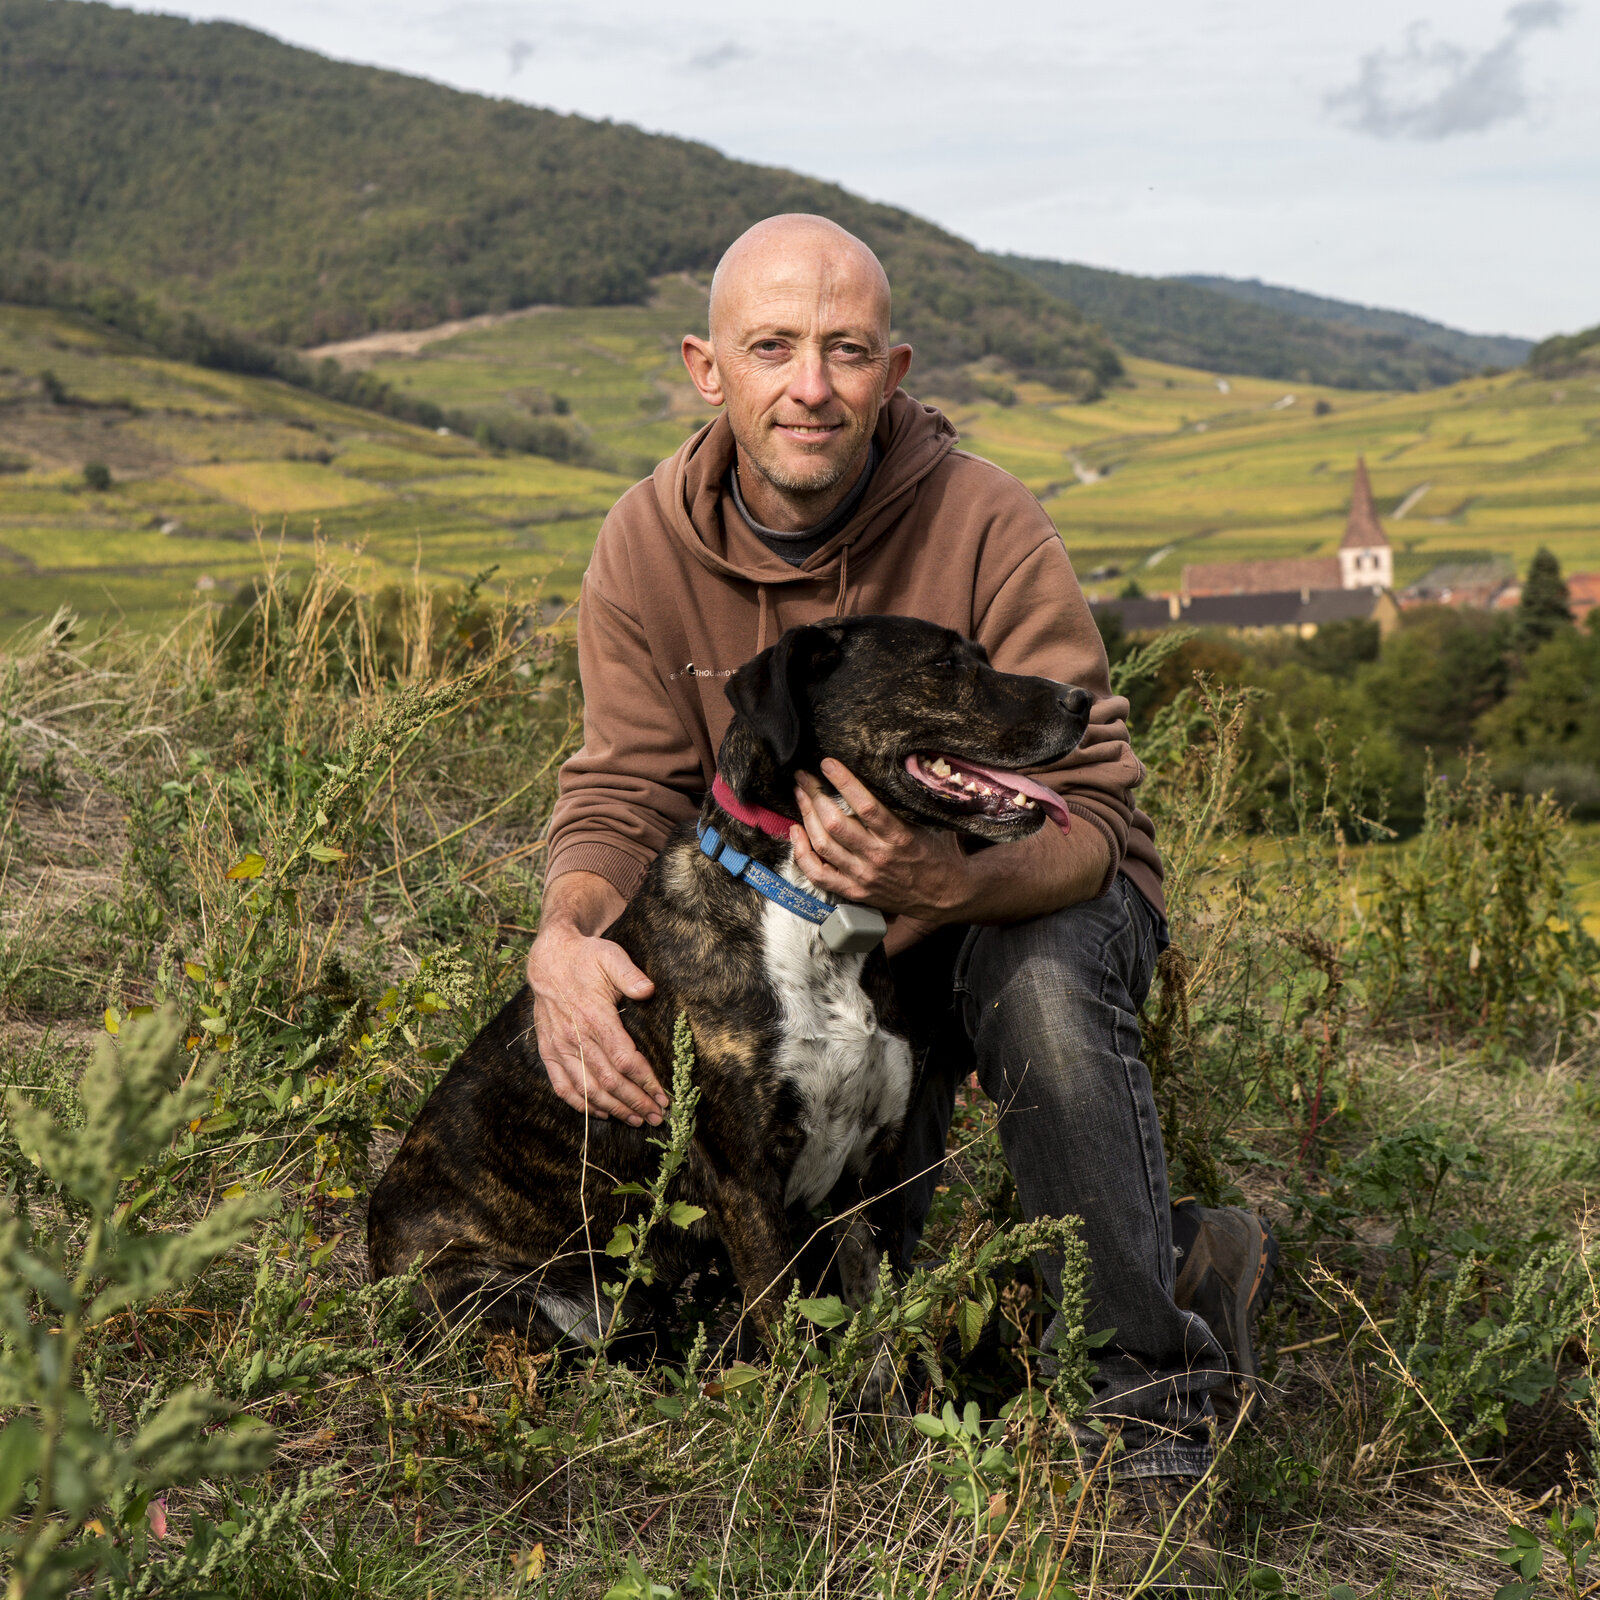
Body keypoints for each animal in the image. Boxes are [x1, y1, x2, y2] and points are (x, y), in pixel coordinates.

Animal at [366, 617, 1088, 1356]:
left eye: (983, 655)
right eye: (944, 665)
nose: (1084, 699)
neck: (809, 907)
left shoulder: (875, 1165)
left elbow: (880, 1332)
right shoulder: (745, 1182)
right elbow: (790, 1336)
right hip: (513, 1301)